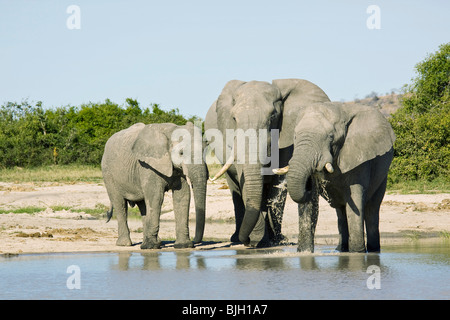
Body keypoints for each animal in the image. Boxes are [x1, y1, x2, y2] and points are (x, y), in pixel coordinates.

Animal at [101, 121, 208, 249]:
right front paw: (150, 247)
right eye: (181, 153)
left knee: (143, 206)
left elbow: (182, 197)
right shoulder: (147, 166)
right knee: (120, 203)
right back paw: (125, 244)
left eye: (205, 151)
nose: (196, 241)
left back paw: (155, 241)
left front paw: (183, 246)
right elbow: (156, 197)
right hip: (108, 174)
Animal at [206, 79, 328, 246]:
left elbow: (278, 183)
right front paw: (260, 240)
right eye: (234, 119)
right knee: (234, 187)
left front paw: (275, 241)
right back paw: (237, 239)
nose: (248, 241)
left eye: (273, 116)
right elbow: (244, 179)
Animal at [272, 102, 396, 252]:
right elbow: (309, 207)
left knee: (372, 207)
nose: (307, 188)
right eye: (295, 136)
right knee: (341, 212)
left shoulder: (359, 157)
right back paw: (341, 249)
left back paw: (373, 250)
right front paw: (305, 252)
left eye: (331, 137)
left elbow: (355, 199)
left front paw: (358, 253)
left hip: (383, 176)